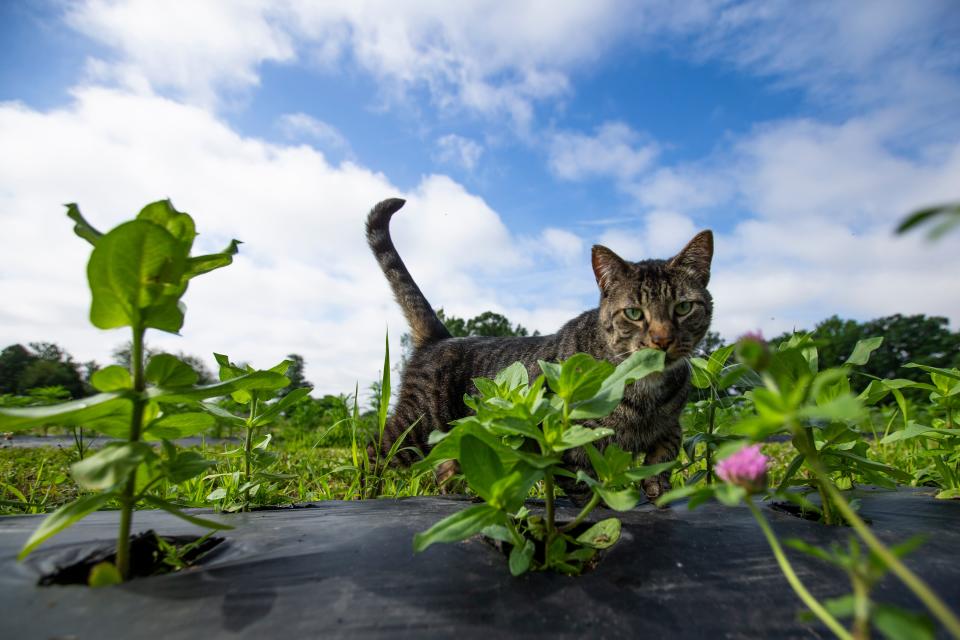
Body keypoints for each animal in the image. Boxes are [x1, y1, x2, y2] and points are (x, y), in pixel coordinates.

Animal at [368, 198, 712, 502]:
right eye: (634, 313)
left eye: (683, 308)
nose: (662, 340)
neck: (645, 388)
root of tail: (441, 338)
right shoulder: (566, 441)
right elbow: (582, 484)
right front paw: (597, 509)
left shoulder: (671, 427)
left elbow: (663, 457)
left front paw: (657, 488)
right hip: (415, 425)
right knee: (375, 449)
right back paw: (368, 493)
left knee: (446, 468)